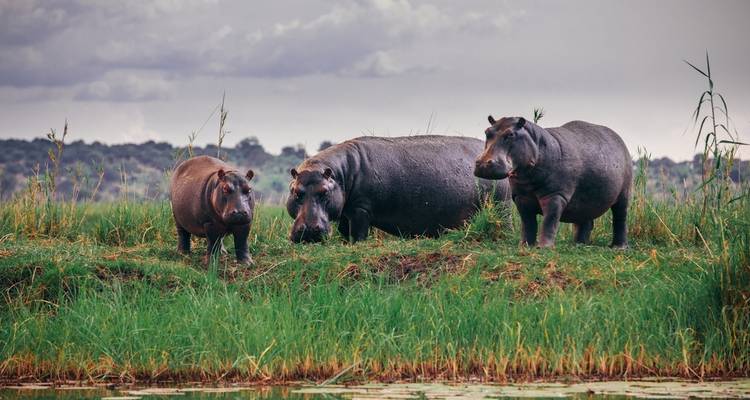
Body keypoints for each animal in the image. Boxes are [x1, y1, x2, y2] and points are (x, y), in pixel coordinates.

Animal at [287, 135, 511, 243]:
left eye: (324, 192)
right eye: (296, 192)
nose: (309, 231)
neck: (339, 174)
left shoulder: (361, 209)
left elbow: (358, 232)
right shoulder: (346, 211)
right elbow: (344, 231)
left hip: (501, 205)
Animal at [474, 116, 632, 248]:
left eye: (511, 134)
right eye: (487, 132)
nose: (482, 163)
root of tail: (619, 139)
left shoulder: (555, 195)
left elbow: (550, 220)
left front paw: (544, 247)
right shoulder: (520, 197)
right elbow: (528, 222)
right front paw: (525, 245)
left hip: (624, 194)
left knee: (620, 218)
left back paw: (618, 247)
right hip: (586, 201)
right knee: (585, 220)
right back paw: (578, 244)